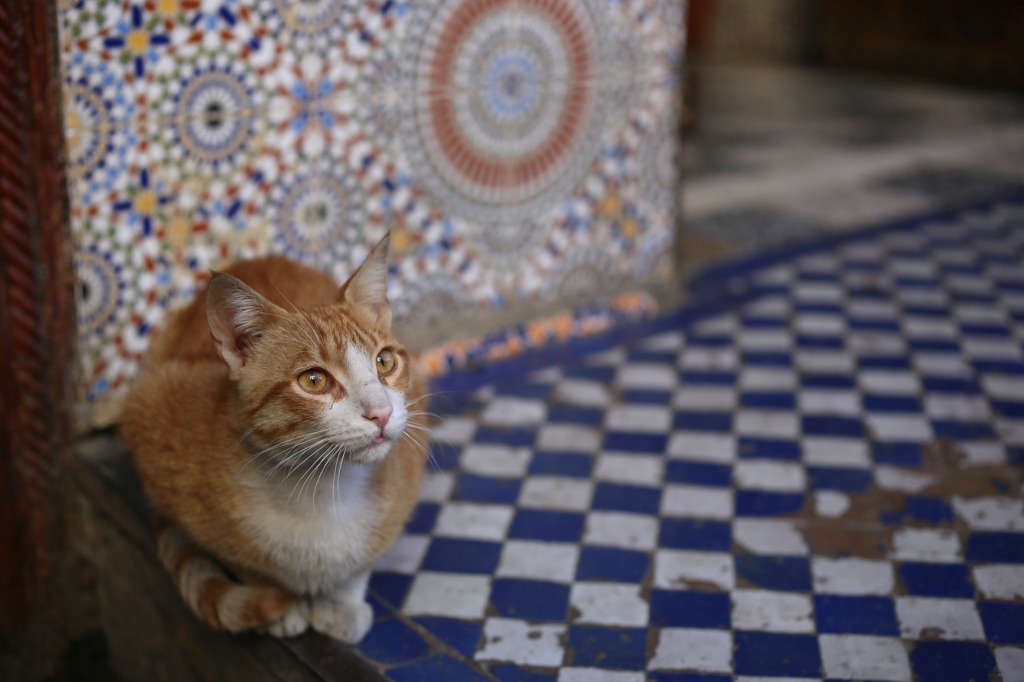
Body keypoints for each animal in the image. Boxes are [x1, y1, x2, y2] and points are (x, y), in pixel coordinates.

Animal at [120, 236, 428, 638]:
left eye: (384, 362)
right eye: (314, 380)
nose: (382, 412)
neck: (322, 490)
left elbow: (362, 562)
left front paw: (340, 602)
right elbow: (246, 563)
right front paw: (280, 604)